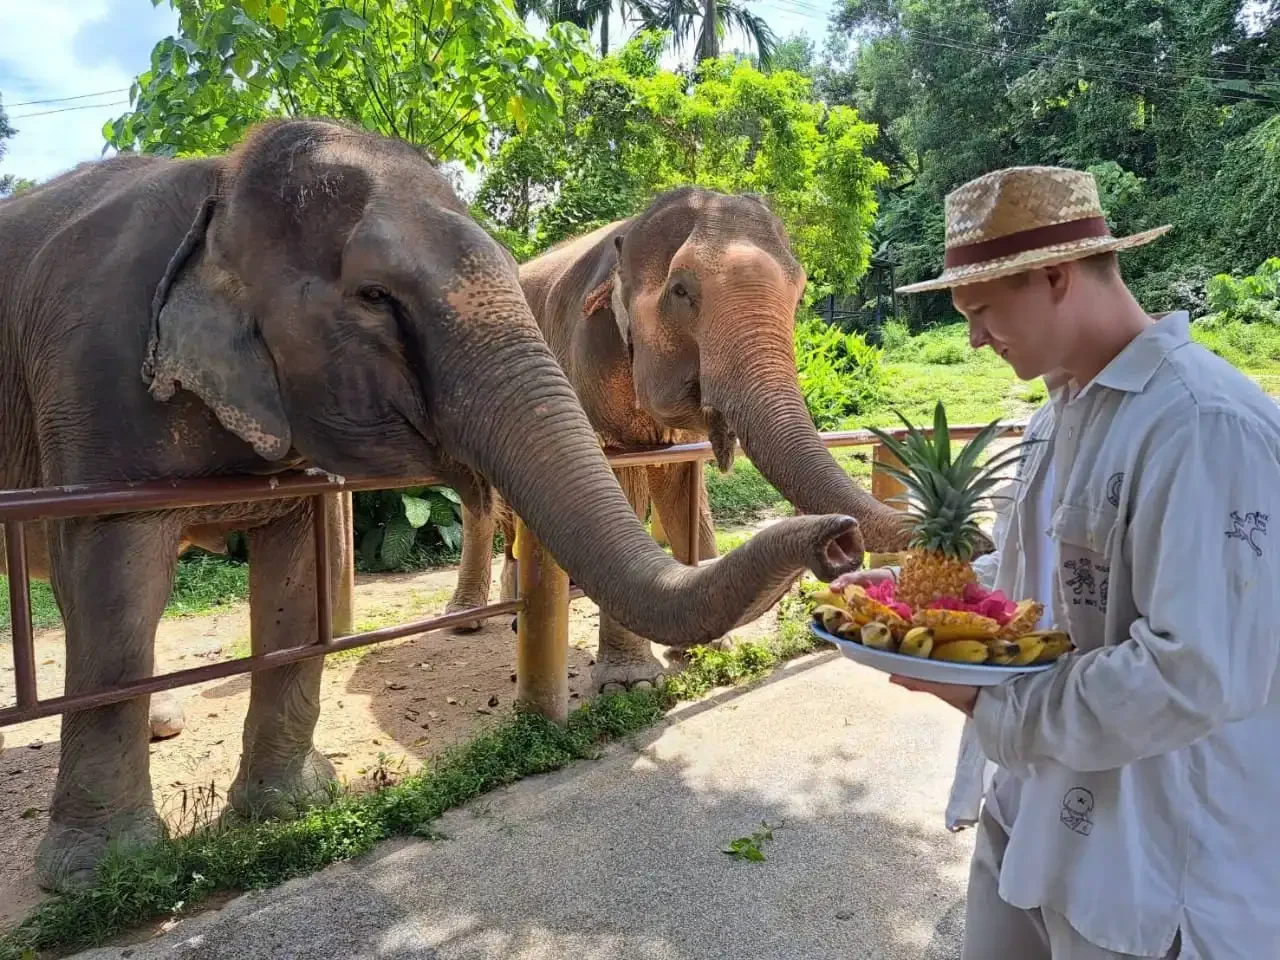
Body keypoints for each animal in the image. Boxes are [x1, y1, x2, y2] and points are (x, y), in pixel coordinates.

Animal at [0, 118, 862, 891]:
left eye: (800, 293)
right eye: (682, 292)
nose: (844, 540)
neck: (219, 186)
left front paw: (286, 812)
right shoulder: (92, 373)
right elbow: (116, 574)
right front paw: (106, 874)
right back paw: (480, 618)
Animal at [445, 187, 915, 691]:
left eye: (801, 293)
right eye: (681, 291)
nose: (842, 542)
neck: (627, 232)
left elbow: (681, 485)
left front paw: (712, 647)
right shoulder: (588, 357)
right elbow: (623, 479)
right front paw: (631, 684)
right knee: (482, 501)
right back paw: (471, 619)